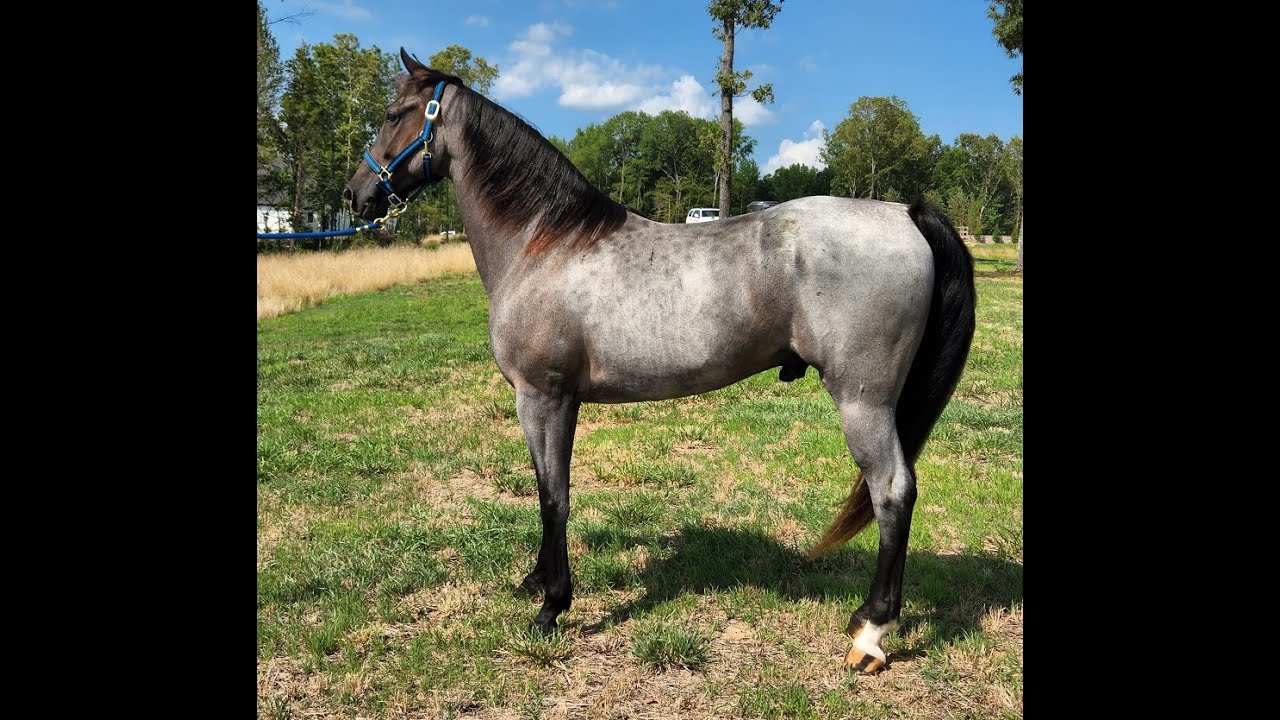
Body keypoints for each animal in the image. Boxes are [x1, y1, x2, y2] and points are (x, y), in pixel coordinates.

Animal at [344, 49, 976, 674]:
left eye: (394, 114)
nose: (357, 196)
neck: (545, 243)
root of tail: (904, 214)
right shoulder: (561, 402)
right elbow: (552, 490)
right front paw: (536, 580)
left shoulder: (542, 398)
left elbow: (552, 496)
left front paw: (552, 607)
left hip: (862, 401)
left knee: (892, 492)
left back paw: (871, 633)